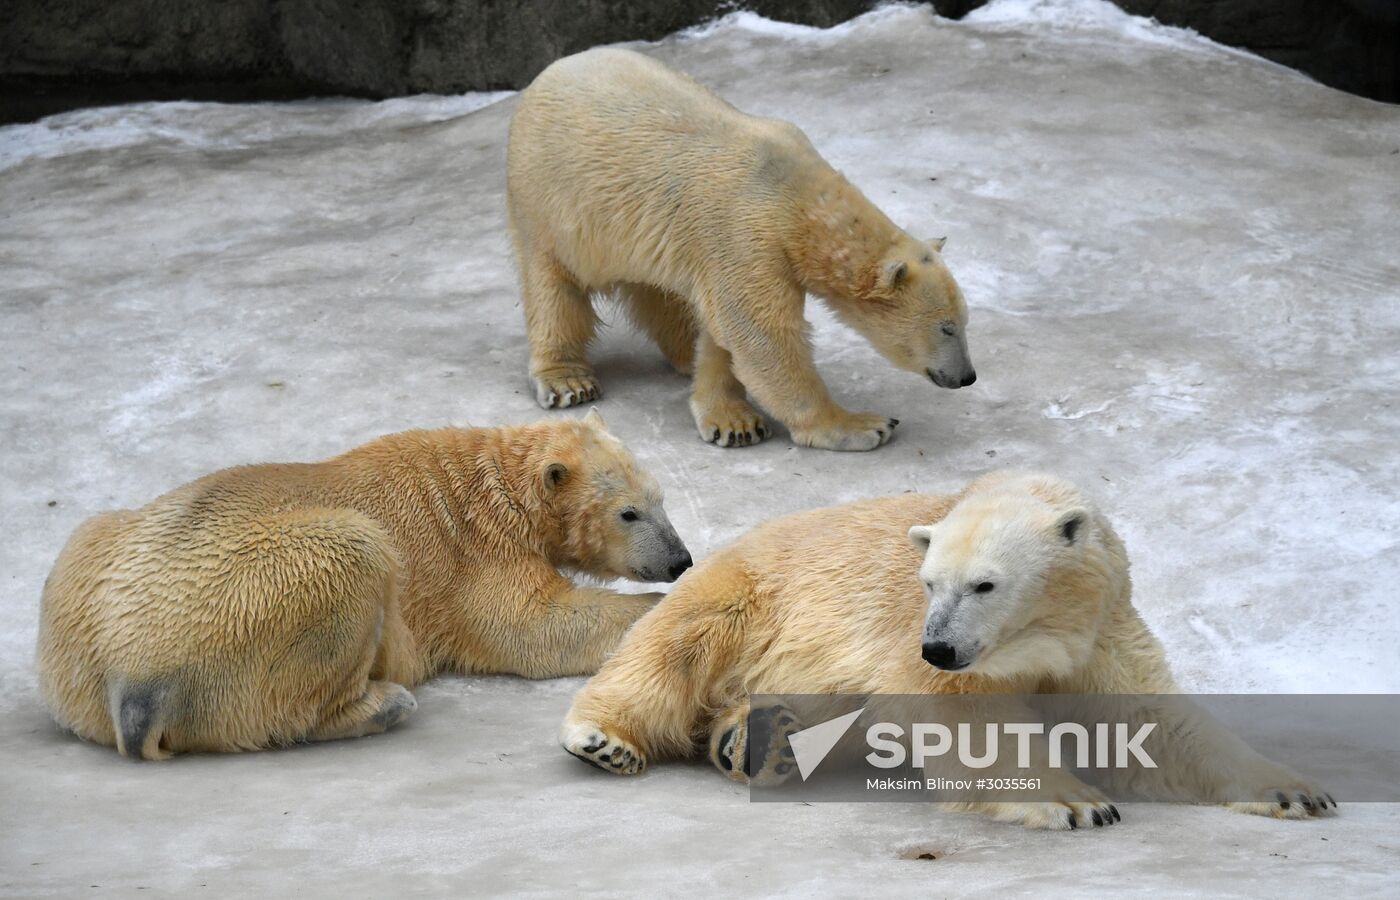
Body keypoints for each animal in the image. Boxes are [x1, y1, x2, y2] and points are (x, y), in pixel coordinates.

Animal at [37, 411, 692, 760]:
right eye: (630, 513)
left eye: (661, 499)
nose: (679, 559)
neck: (493, 484)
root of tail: (130, 682)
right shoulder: (472, 553)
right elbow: (531, 628)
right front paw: (655, 609)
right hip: (262, 594)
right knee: (350, 558)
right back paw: (384, 702)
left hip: (84, 590)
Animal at [506, 47, 976, 452]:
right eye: (947, 328)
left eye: (964, 322)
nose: (967, 377)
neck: (794, 197)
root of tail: (552, 70)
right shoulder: (747, 236)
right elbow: (762, 335)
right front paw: (864, 425)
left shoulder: (735, 252)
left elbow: (726, 335)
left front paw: (731, 420)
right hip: (550, 199)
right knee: (554, 287)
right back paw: (568, 380)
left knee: (663, 292)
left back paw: (684, 354)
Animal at [559, 471, 1334, 830]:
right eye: (931, 582)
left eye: (986, 583)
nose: (939, 647)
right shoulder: (913, 631)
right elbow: (962, 715)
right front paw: (1076, 802)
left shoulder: (1101, 630)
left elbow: (1153, 723)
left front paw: (1296, 789)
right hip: (752, 595)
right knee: (674, 647)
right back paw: (605, 737)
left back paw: (756, 741)